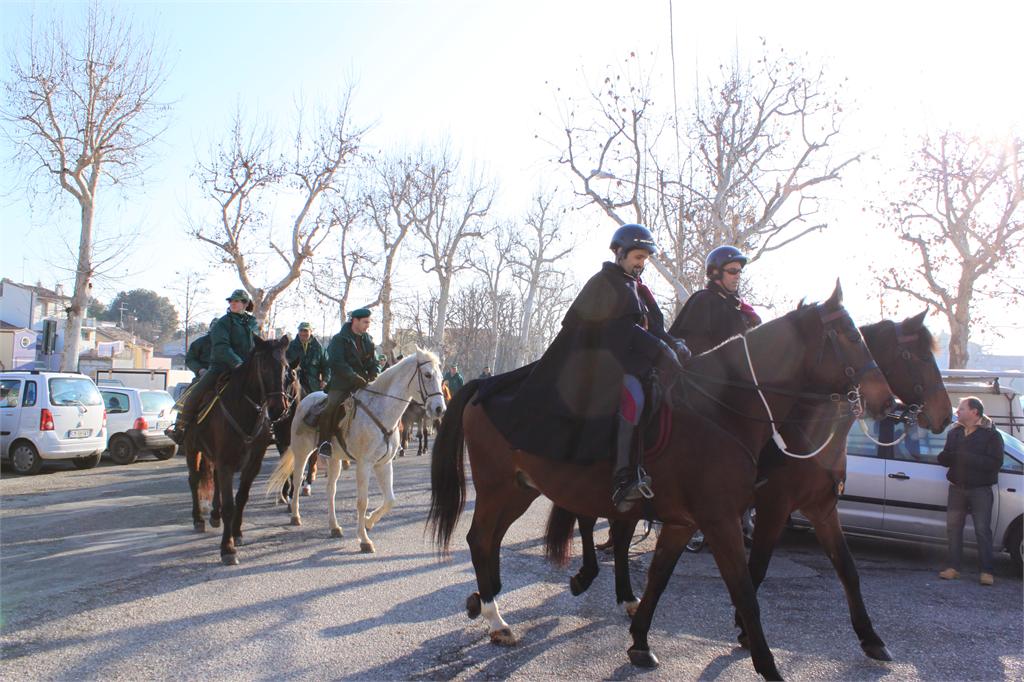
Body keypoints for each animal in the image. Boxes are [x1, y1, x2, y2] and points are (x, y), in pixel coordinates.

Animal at [185, 335, 292, 565]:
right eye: (264, 366)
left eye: (285, 368)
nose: (278, 408)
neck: (244, 411)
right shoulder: (225, 462)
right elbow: (229, 505)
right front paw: (227, 549)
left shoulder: (252, 464)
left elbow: (241, 498)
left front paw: (237, 533)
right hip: (192, 449)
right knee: (194, 480)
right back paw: (198, 519)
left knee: (214, 480)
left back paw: (214, 516)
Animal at [267, 349, 446, 553]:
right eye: (427, 375)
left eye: (441, 377)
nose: (440, 409)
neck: (381, 411)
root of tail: (305, 400)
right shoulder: (364, 465)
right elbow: (362, 501)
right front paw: (364, 539)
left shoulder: (383, 464)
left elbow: (390, 500)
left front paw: (368, 522)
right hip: (302, 452)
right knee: (297, 482)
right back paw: (295, 515)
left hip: (334, 459)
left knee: (331, 490)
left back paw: (334, 526)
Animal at [427, 283, 895, 680]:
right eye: (850, 335)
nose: (887, 400)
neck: (722, 410)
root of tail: (486, 384)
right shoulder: (726, 518)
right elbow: (746, 588)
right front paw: (766, 663)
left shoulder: (689, 522)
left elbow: (659, 578)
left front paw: (639, 641)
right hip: (498, 487)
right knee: (481, 538)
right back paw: (496, 617)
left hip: (521, 490)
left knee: (491, 540)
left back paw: (486, 600)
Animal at [548, 310, 952, 663]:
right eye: (914, 355)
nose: (945, 415)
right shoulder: (772, 508)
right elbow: (756, 569)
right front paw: (743, 628)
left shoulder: (822, 509)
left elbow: (847, 570)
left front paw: (871, 638)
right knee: (590, 520)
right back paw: (588, 577)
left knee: (618, 533)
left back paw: (626, 597)